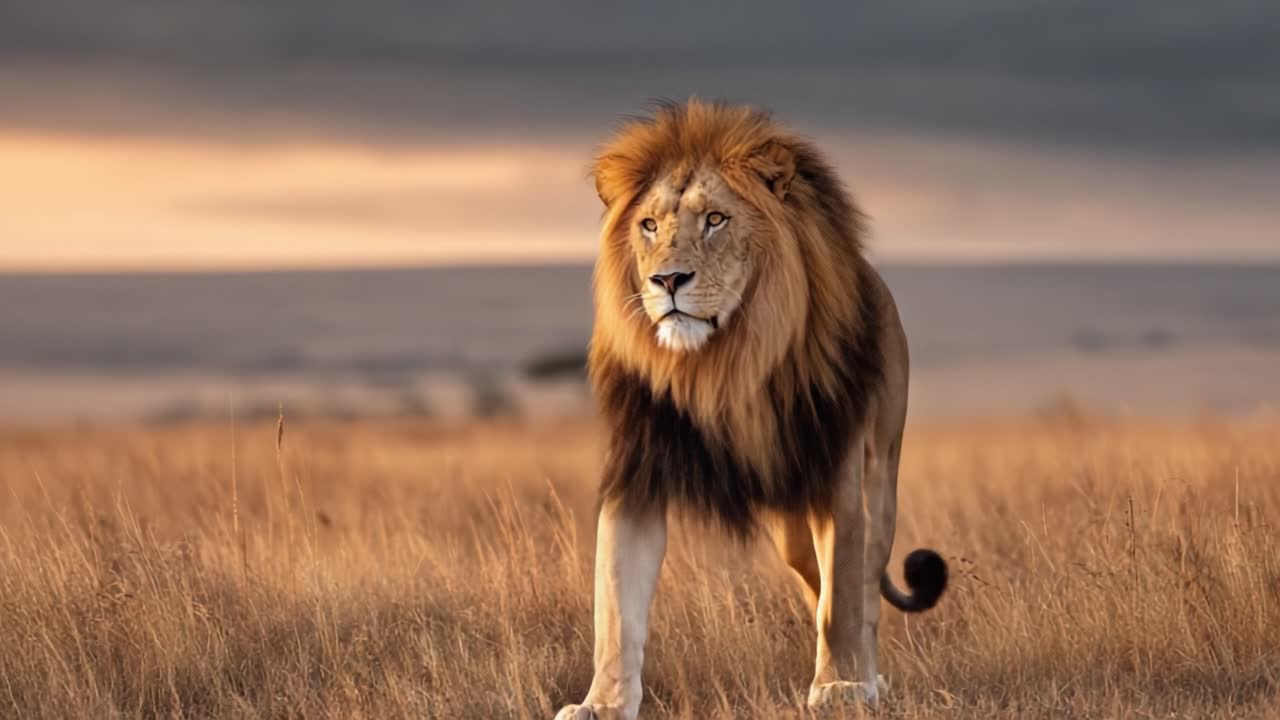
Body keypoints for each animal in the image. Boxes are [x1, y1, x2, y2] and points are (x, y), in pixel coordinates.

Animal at [556, 100, 947, 720]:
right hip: (789, 528)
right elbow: (616, 609)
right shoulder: (636, 470)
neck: (721, 364)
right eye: (649, 225)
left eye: (716, 220)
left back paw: (867, 674)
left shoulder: (836, 471)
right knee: (815, 577)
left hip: (880, 471)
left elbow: (844, 594)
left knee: (861, 582)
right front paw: (601, 703)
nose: (666, 279)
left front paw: (840, 686)